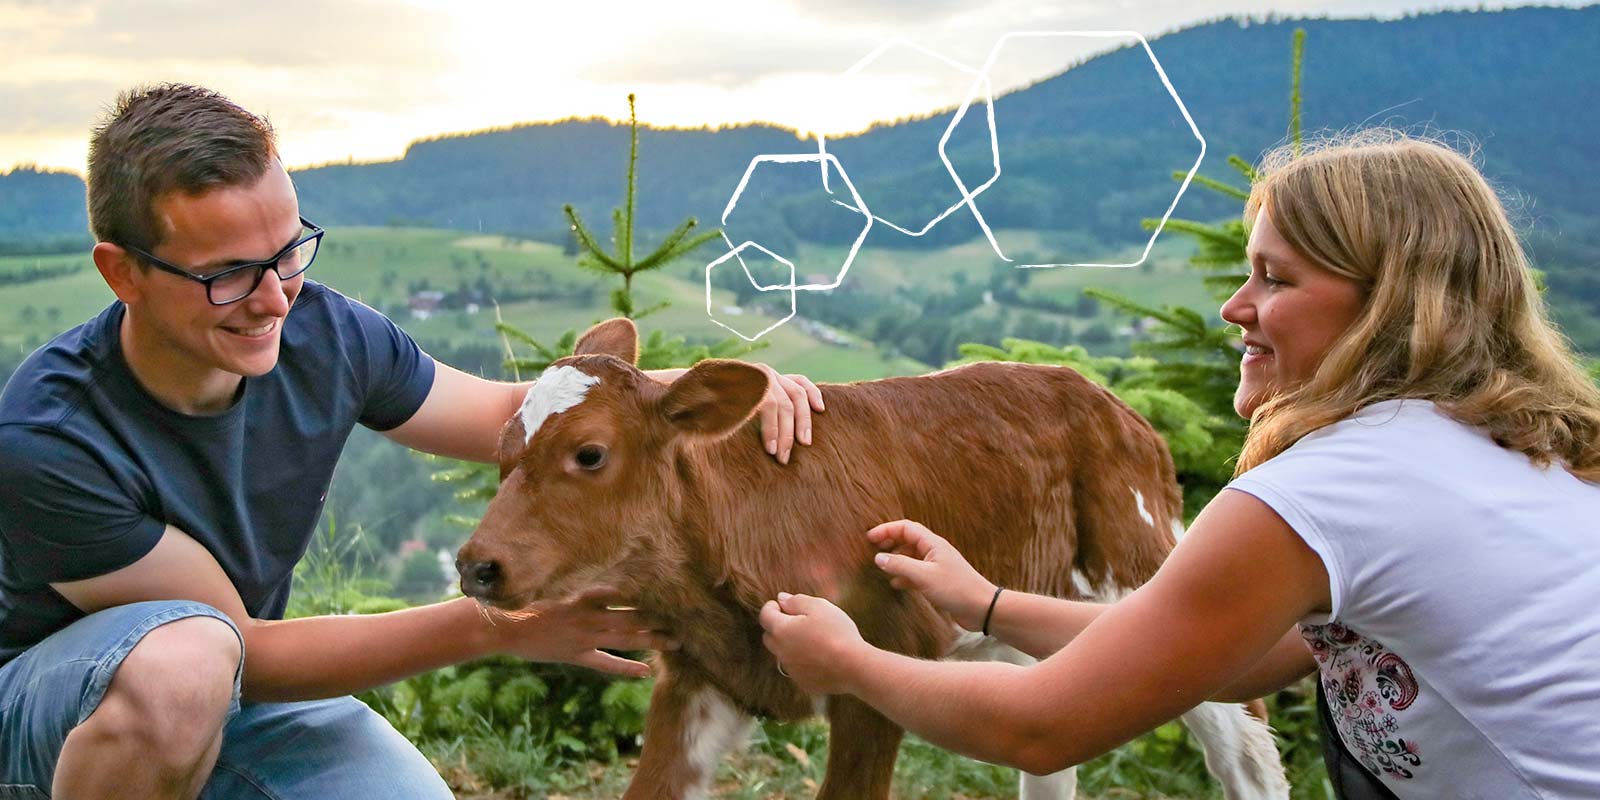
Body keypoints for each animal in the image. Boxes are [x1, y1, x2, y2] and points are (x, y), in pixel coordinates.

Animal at [454, 318, 1286, 800]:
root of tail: (1114, 406)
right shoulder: (700, 675)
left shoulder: (879, 662)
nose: (475, 566)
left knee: (1246, 749)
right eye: (503, 452)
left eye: (590, 453)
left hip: (1149, 573)